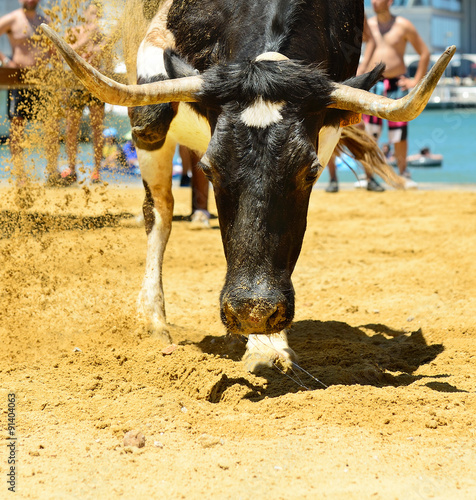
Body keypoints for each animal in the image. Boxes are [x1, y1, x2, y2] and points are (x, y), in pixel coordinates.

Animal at [42, 0, 456, 372]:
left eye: (310, 171)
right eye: (209, 169)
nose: (253, 312)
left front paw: (267, 342)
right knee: (158, 211)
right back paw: (155, 319)